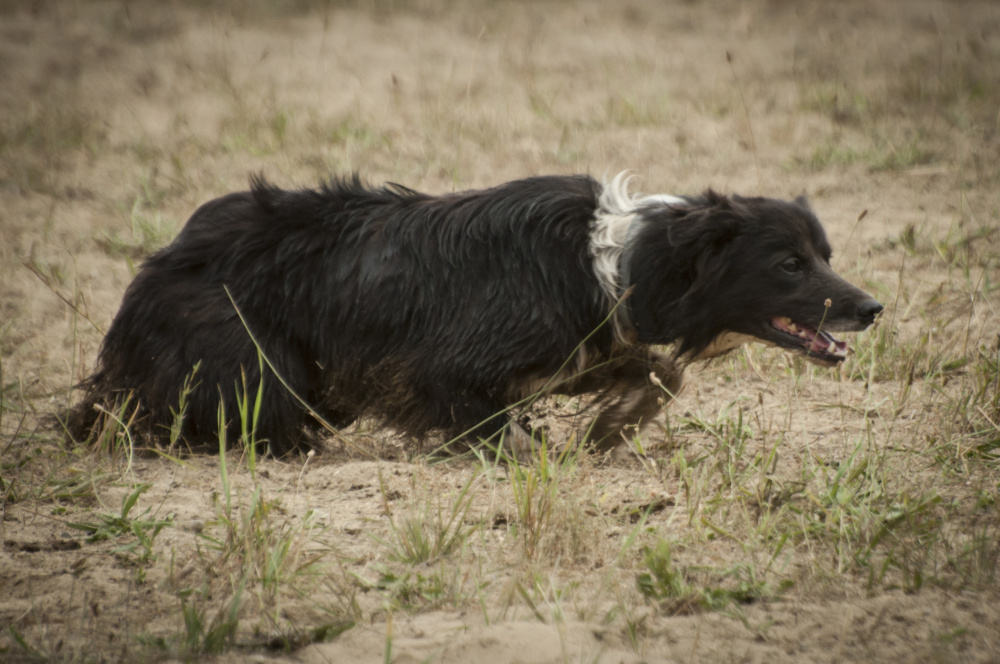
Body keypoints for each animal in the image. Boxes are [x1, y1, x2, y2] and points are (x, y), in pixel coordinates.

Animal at [68, 174, 884, 456]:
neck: (621, 260)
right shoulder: (450, 366)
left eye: (825, 253)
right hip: (251, 354)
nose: (873, 309)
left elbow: (655, 372)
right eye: (789, 265)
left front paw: (611, 425)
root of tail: (162, 258)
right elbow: (498, 428)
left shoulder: (587, 342)